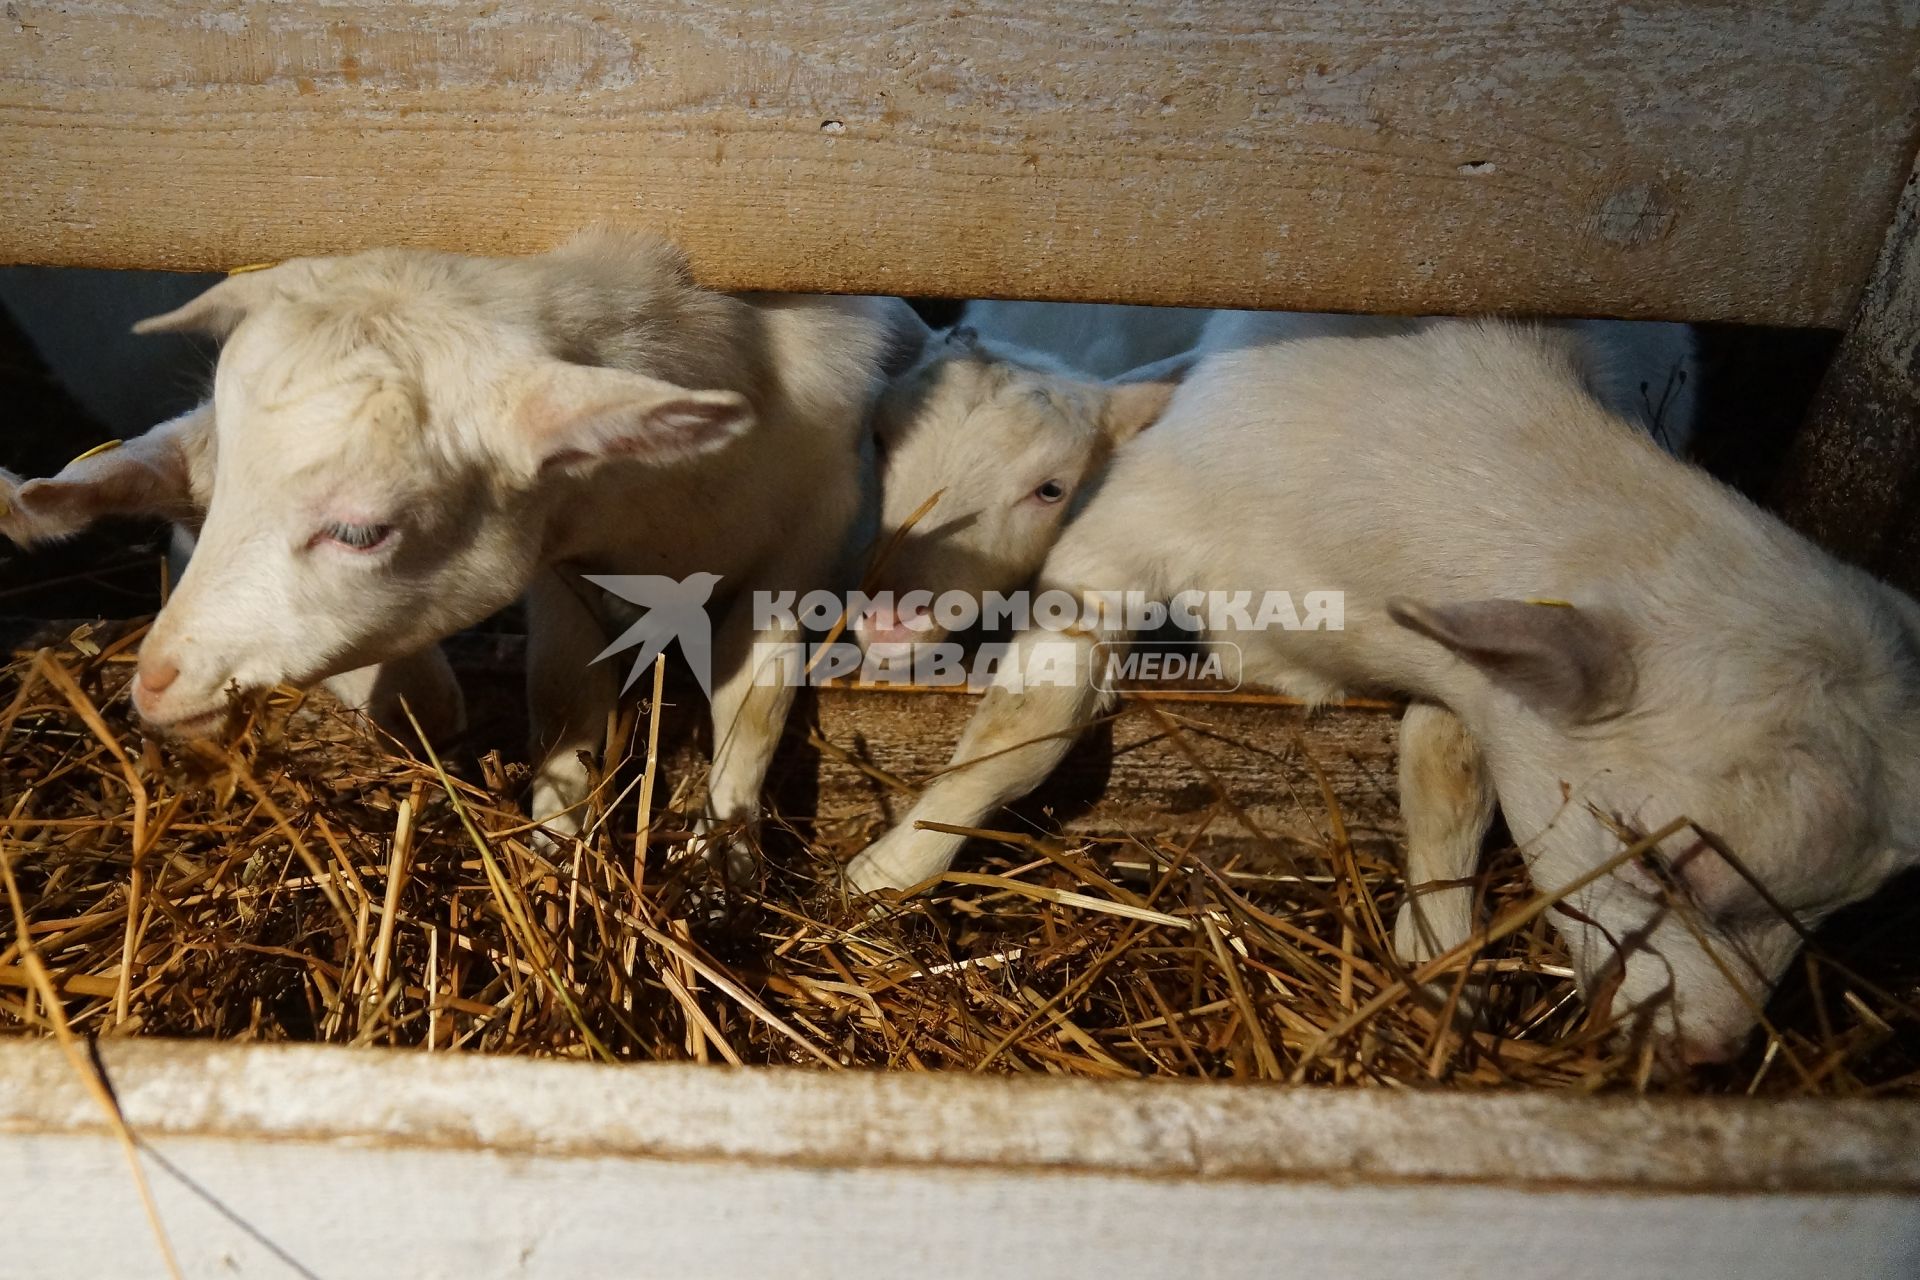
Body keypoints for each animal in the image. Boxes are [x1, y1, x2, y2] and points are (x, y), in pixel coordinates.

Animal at [856, 326, 1920, 1066]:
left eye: (1846, 910)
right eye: (1656, 861)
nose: (1709, 1051)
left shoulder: (1460, 665)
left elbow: (1448, 776)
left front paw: (1438, 956)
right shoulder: (1116, 547)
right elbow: (1028, 722)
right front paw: (891, 871)